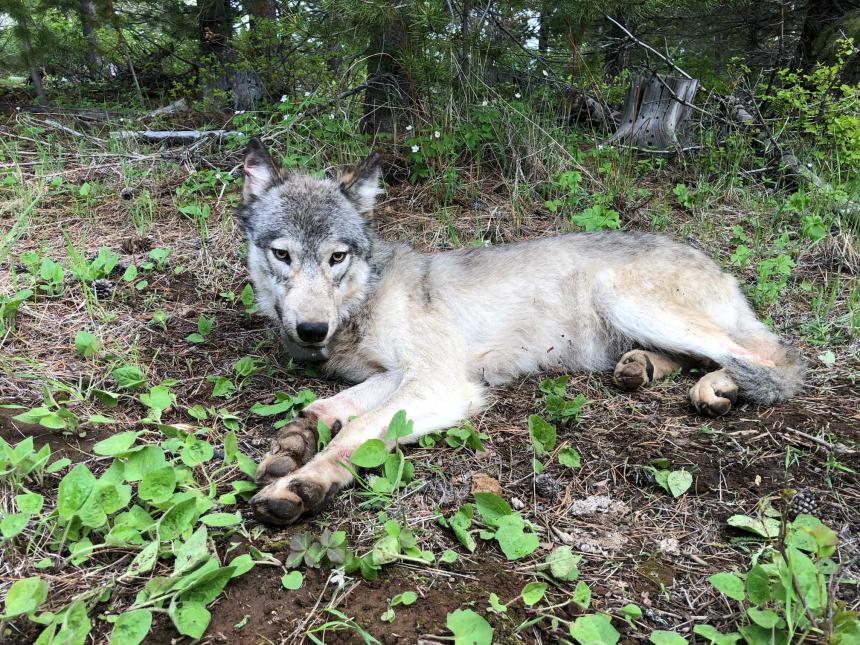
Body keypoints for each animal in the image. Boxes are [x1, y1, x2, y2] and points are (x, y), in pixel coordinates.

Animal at [237, 140, 808, 524]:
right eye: (282, 254)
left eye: (336, 257)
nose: (311, 330)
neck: (365, 295)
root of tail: (713, 263)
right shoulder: (397, 376)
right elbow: (326, 409)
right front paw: (293, 444)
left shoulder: (439, 385)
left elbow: (356, 432)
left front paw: (302, 484)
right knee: (709, 356)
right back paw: (642, 368)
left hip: (625, 299)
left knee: (769, 359)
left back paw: (719, 387)